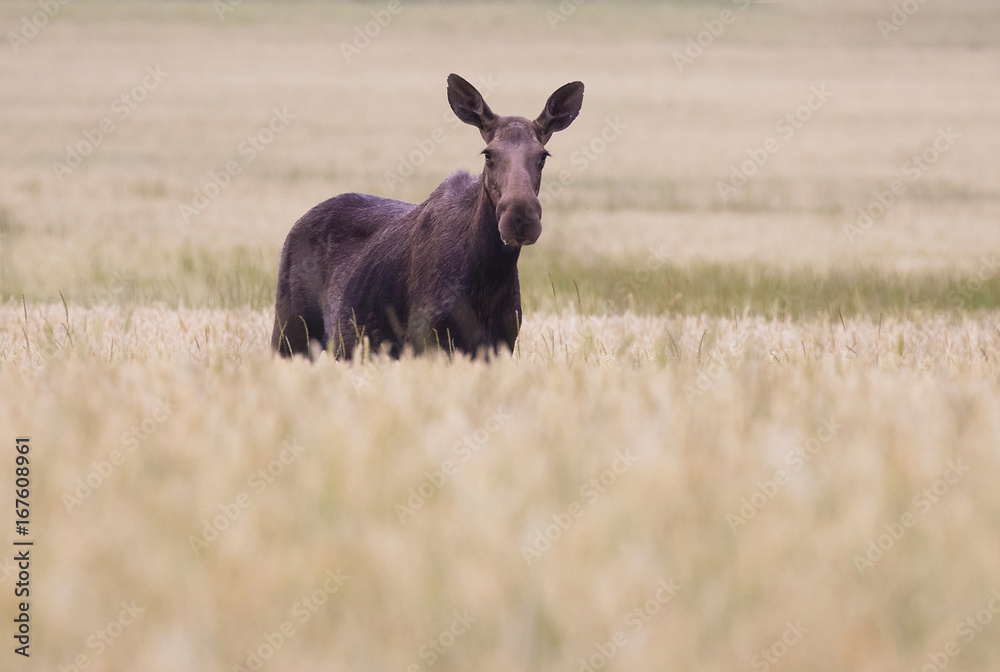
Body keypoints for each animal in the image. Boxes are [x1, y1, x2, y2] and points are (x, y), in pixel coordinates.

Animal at [271, 74, 585, 359]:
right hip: (288, 333)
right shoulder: (428, 338)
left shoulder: (500, 344)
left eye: (543, 155)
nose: (520, 219)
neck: (488, 279)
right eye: (488, 154)